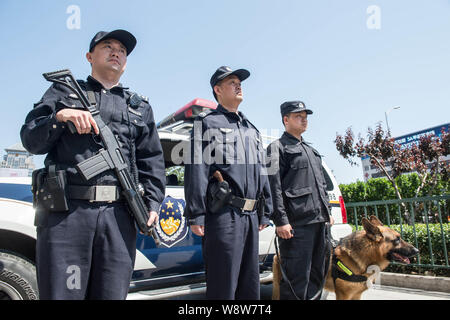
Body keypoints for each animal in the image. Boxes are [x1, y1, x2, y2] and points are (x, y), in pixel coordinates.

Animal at [272, 215, 420, 300]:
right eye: (397, 240)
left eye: (400, 237)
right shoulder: (344, 296)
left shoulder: (356, 295)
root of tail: (277, 254)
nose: (417, 251)